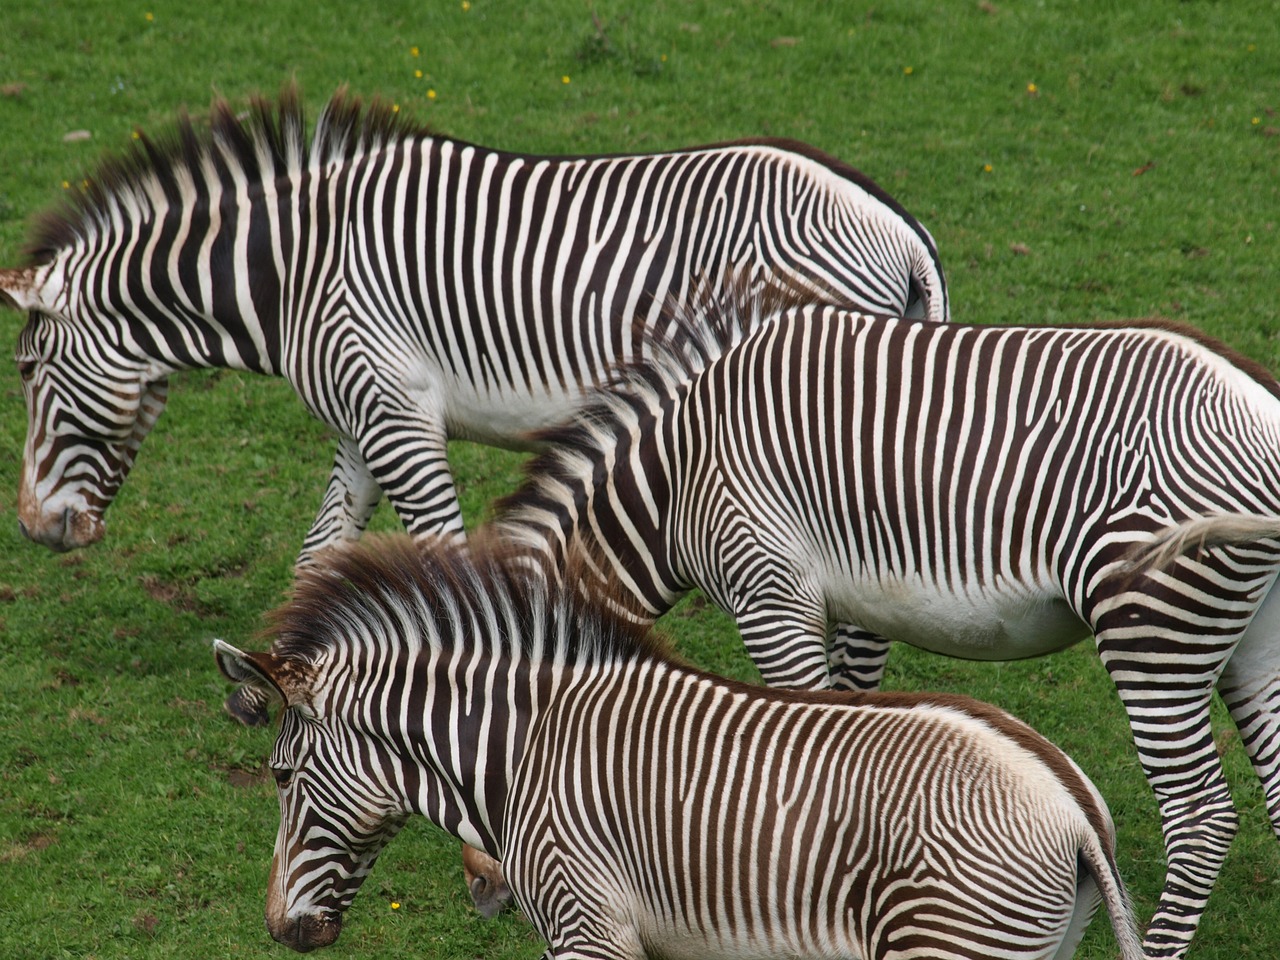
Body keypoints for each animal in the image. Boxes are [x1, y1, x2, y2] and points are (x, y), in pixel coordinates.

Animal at [491, 289, 1280, 957]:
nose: (487, 894)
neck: (678, 475)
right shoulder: (860, 605)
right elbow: (853, 706)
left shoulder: (769, 591)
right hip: (1252, 636)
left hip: (1152, 624)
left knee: (1201, 814)